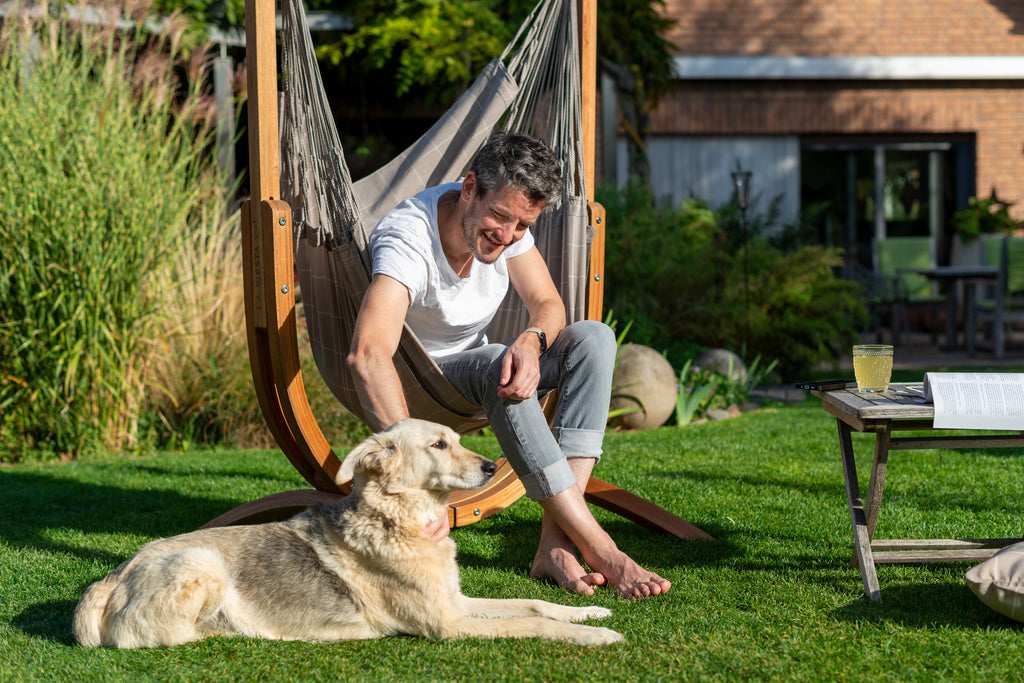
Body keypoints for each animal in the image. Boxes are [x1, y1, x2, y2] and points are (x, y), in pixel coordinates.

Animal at [74, 419, 622, 651]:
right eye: (439, 445)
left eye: (458, 440)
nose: (491, 467)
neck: (403, 521)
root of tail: (110, 578)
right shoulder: (447, 624)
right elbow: (531, 623)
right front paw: (594, 636)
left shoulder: (456, 602)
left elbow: (534, 604)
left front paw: (590, 612)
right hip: (203, 565)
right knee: (150, 639)